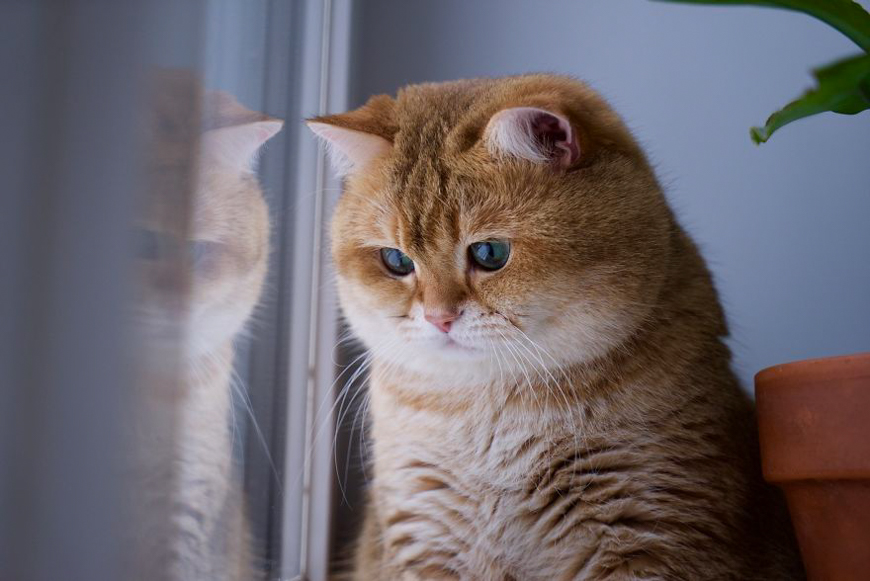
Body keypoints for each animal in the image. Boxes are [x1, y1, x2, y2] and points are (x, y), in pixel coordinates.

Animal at [310, 75, 808, 576]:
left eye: (489, 253)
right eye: (396, 261)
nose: (439, 318)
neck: (482, 415)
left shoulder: (650, 533)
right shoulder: (423, 537)